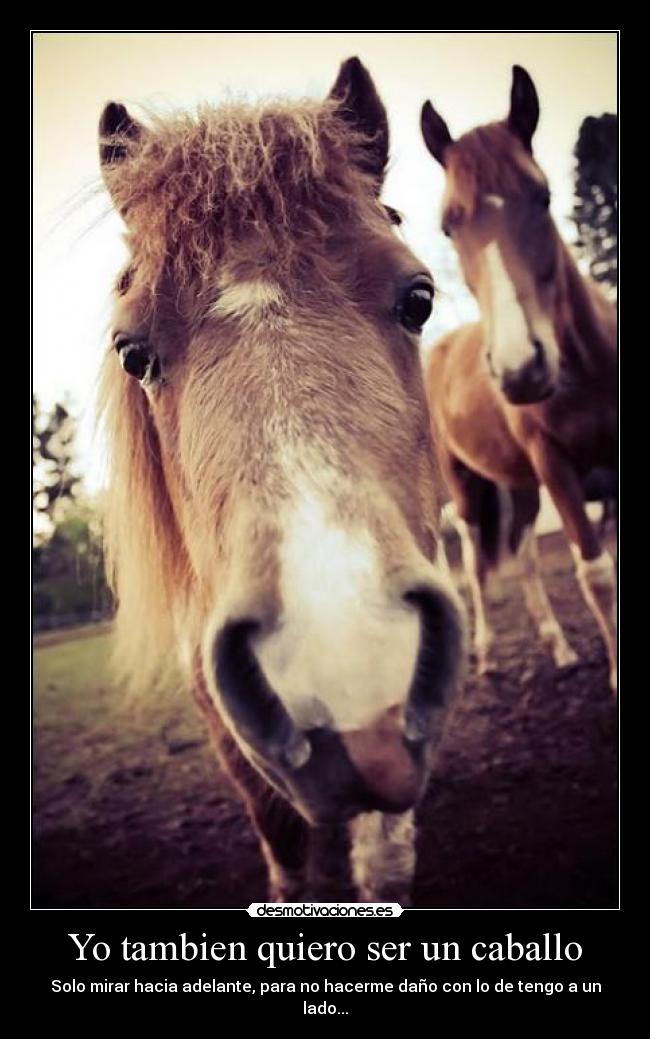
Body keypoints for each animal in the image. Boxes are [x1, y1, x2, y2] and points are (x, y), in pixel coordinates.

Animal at [419, 65, 617, 692]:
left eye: (543, 196)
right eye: (448, 227)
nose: (520, 369)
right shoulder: (556, 467)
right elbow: (596, 573)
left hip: (523, 487)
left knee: (525, 559)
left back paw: (558, 646)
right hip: (467, 491)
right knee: (474, 563)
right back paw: (482, 653)